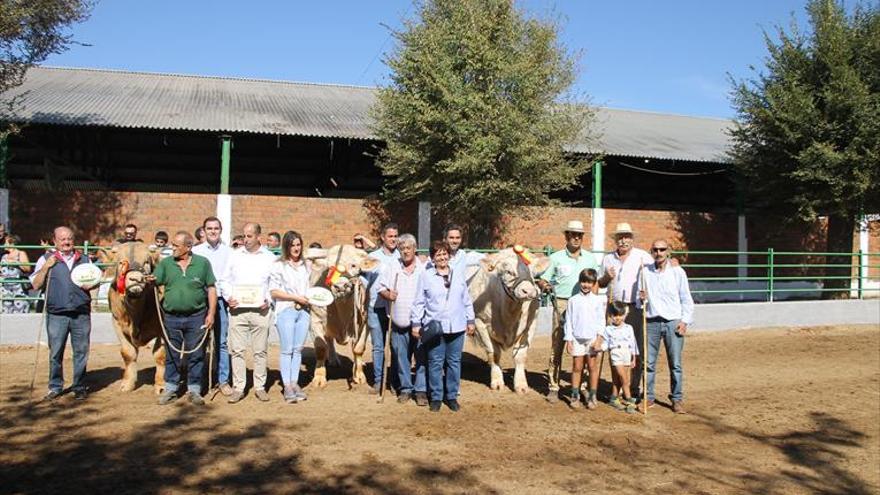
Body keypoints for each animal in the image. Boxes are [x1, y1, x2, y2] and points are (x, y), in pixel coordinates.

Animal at [306, 246, 382, 390]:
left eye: (353, 265)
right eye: (329, 268)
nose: (340, 286)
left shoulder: (364, 321)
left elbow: (358, 348)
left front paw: (358, 375)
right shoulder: (316, 319)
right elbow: (320, 348)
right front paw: (319, 378)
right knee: (329, 340)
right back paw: (333, 359)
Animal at [468, 248, 552, 396]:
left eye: (532, 273)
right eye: (508, 271)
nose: (528, 291)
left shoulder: (530, 325)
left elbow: (520, 356)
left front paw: (521, 385)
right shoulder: (480, 322)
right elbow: (494, 354)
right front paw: (497, 382)